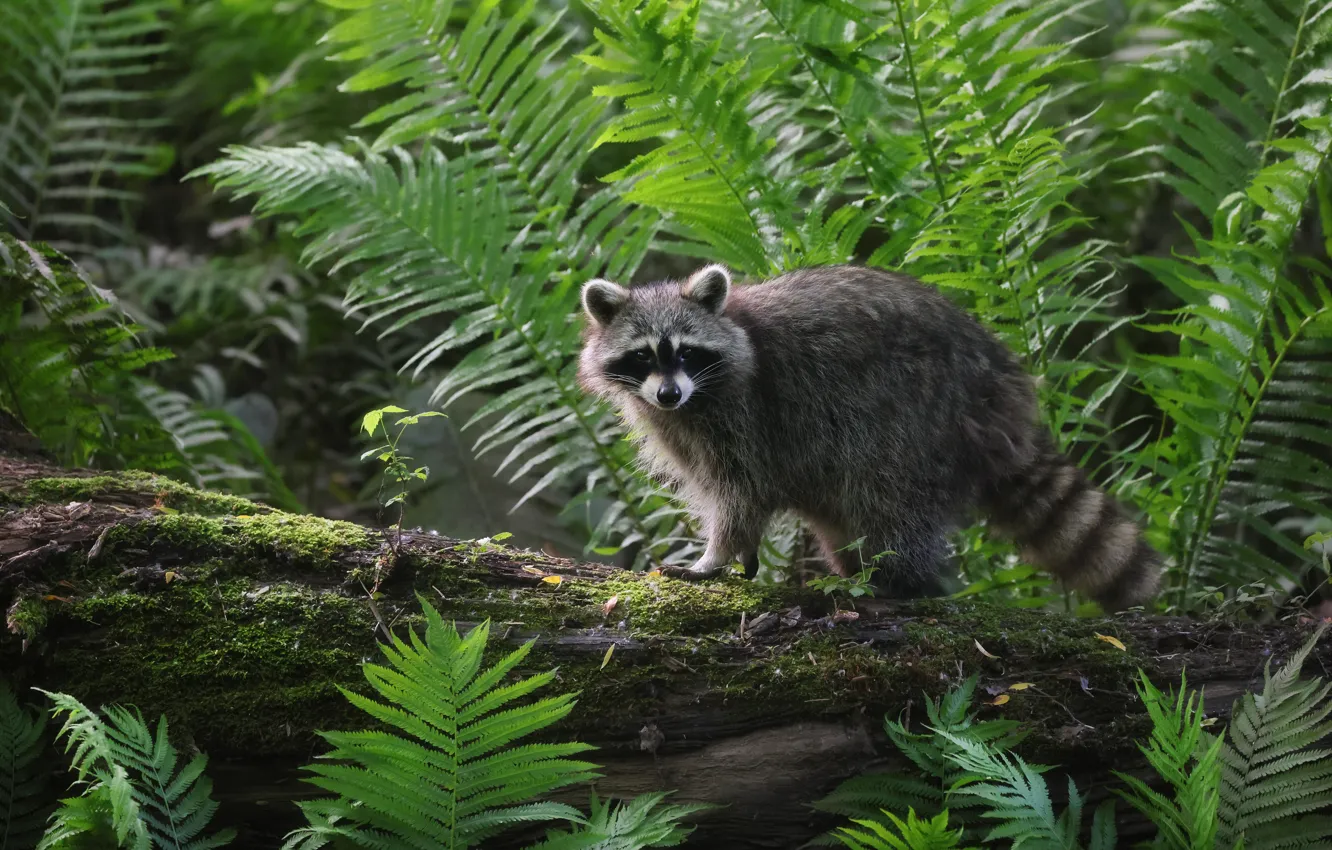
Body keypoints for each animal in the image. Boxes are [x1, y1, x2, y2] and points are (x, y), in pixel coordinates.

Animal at [576, 263, 1161, 611]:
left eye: (686, 352)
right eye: (643, 356)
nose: (668, 394)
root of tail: (1003, 394)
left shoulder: (749, 410)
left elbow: (741, 491)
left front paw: (714, 555)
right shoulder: (681, 423)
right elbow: (725, 488)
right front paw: (738, 553)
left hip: (918, 420)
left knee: (891, 500)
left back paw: (899, 582)